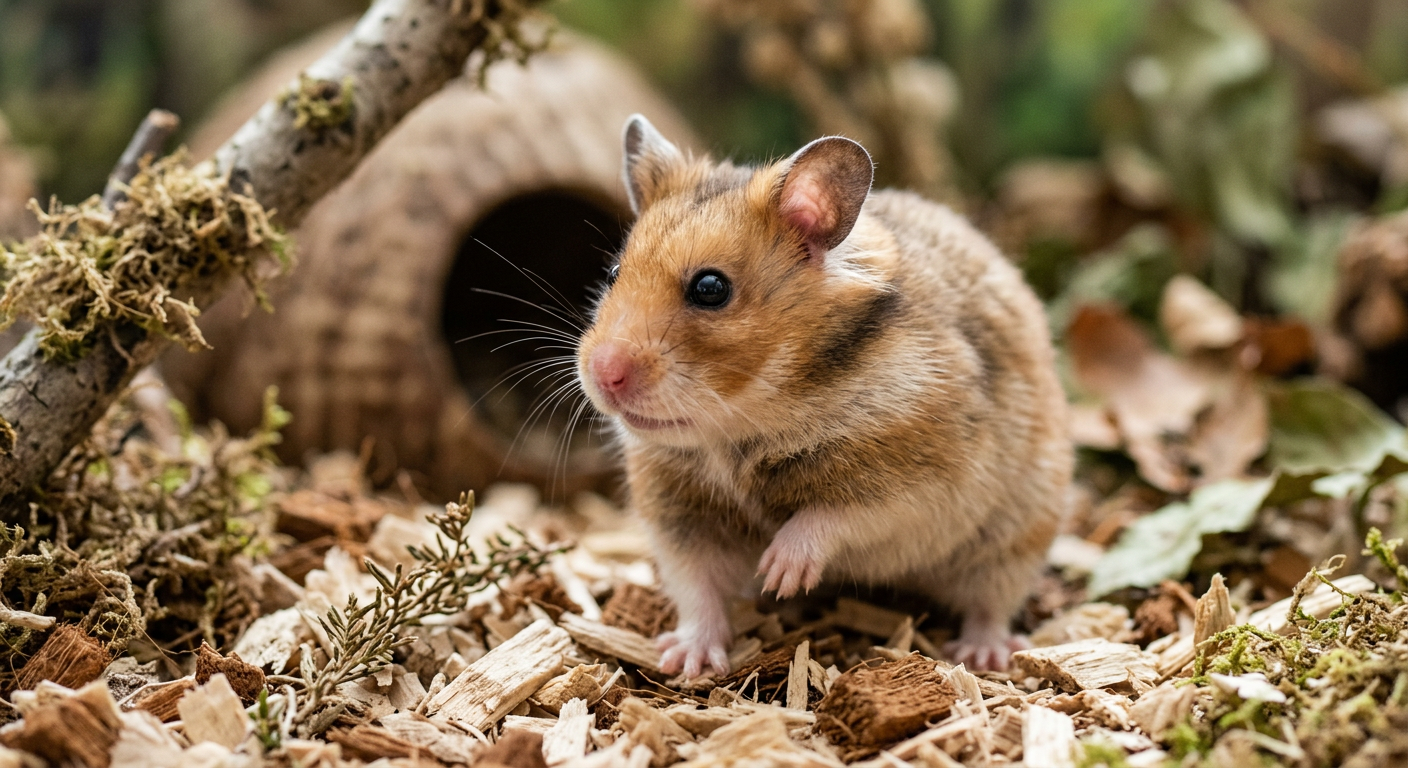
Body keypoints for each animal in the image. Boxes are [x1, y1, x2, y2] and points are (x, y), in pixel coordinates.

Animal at [575, 115, 1072, 677]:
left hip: (1017, 534)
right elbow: (696, 589)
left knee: (991, 602)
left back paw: (981, 654)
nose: (603, 374)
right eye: (614, 274)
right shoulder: (678, 519)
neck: (745, 426)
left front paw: (779, 572)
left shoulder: (921, 483)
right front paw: (687, 661)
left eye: (710, 288)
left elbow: (831, 517)